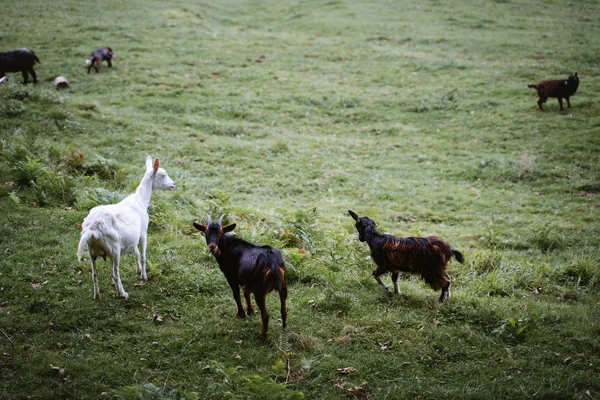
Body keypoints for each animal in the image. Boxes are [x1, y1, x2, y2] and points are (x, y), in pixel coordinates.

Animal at [77, 155, 176, 298]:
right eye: (163, 175)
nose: (173, 184)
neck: (141, 201)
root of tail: (92, 229)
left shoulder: (133, 238)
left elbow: (136, 252)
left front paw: (138, 271)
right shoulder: (143, 232)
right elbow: (143, 255)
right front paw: (144, 277)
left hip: (91, 251)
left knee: (94, 274)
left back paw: (97, 296)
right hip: (114, 249)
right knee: (114, 274)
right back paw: (123, 293)